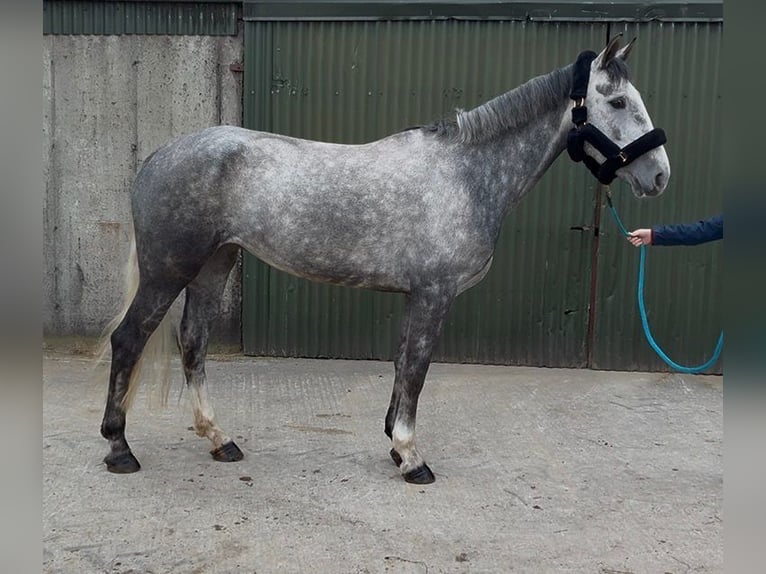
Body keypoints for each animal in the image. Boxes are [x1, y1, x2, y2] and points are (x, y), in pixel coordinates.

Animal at [100, 35, 670, 484]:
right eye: (618, 101)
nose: (659, 175)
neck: (465, 176)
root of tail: (156, 157)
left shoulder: (415, 296)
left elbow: (400, 365)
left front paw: (395, 445)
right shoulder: (435, 295)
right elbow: (416, 369)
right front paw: (412, 458)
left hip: (214, 265)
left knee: (193, 342)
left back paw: (220, 440)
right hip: (168, 271)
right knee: (129, 339)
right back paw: (119, 449)